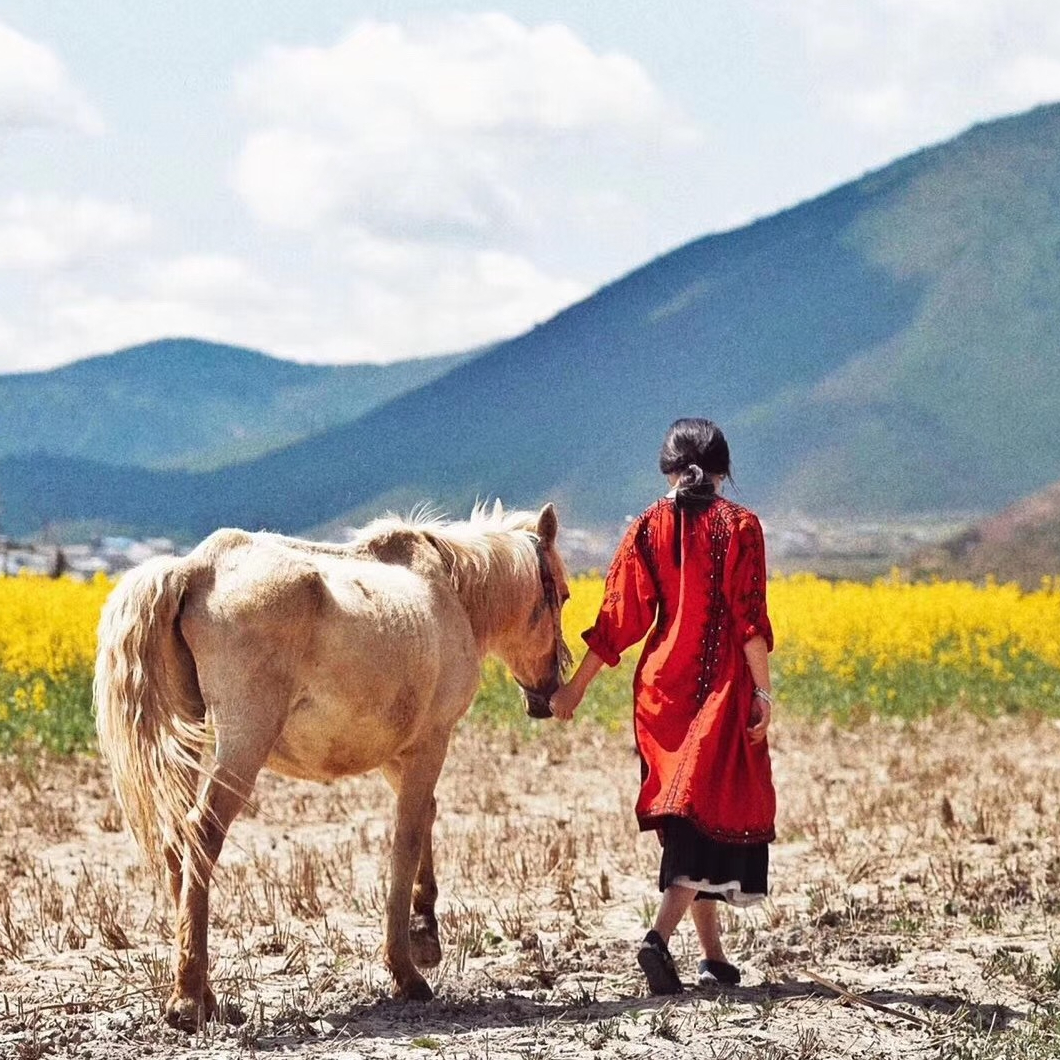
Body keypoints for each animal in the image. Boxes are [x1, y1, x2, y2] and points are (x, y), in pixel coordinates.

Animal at [93, 502, 572, 1026]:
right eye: (563, 596)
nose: (548, 694)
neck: (452, 592)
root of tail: (195, 569)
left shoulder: (398, 754)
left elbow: (424, 816)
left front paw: (425, 932)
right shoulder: (430, 743)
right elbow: (406, 841)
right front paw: (406, 968)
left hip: (191, 735)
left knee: (177, 844)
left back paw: (206, 994)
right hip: (243, 744)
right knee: (201, 834)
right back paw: (187, 999)